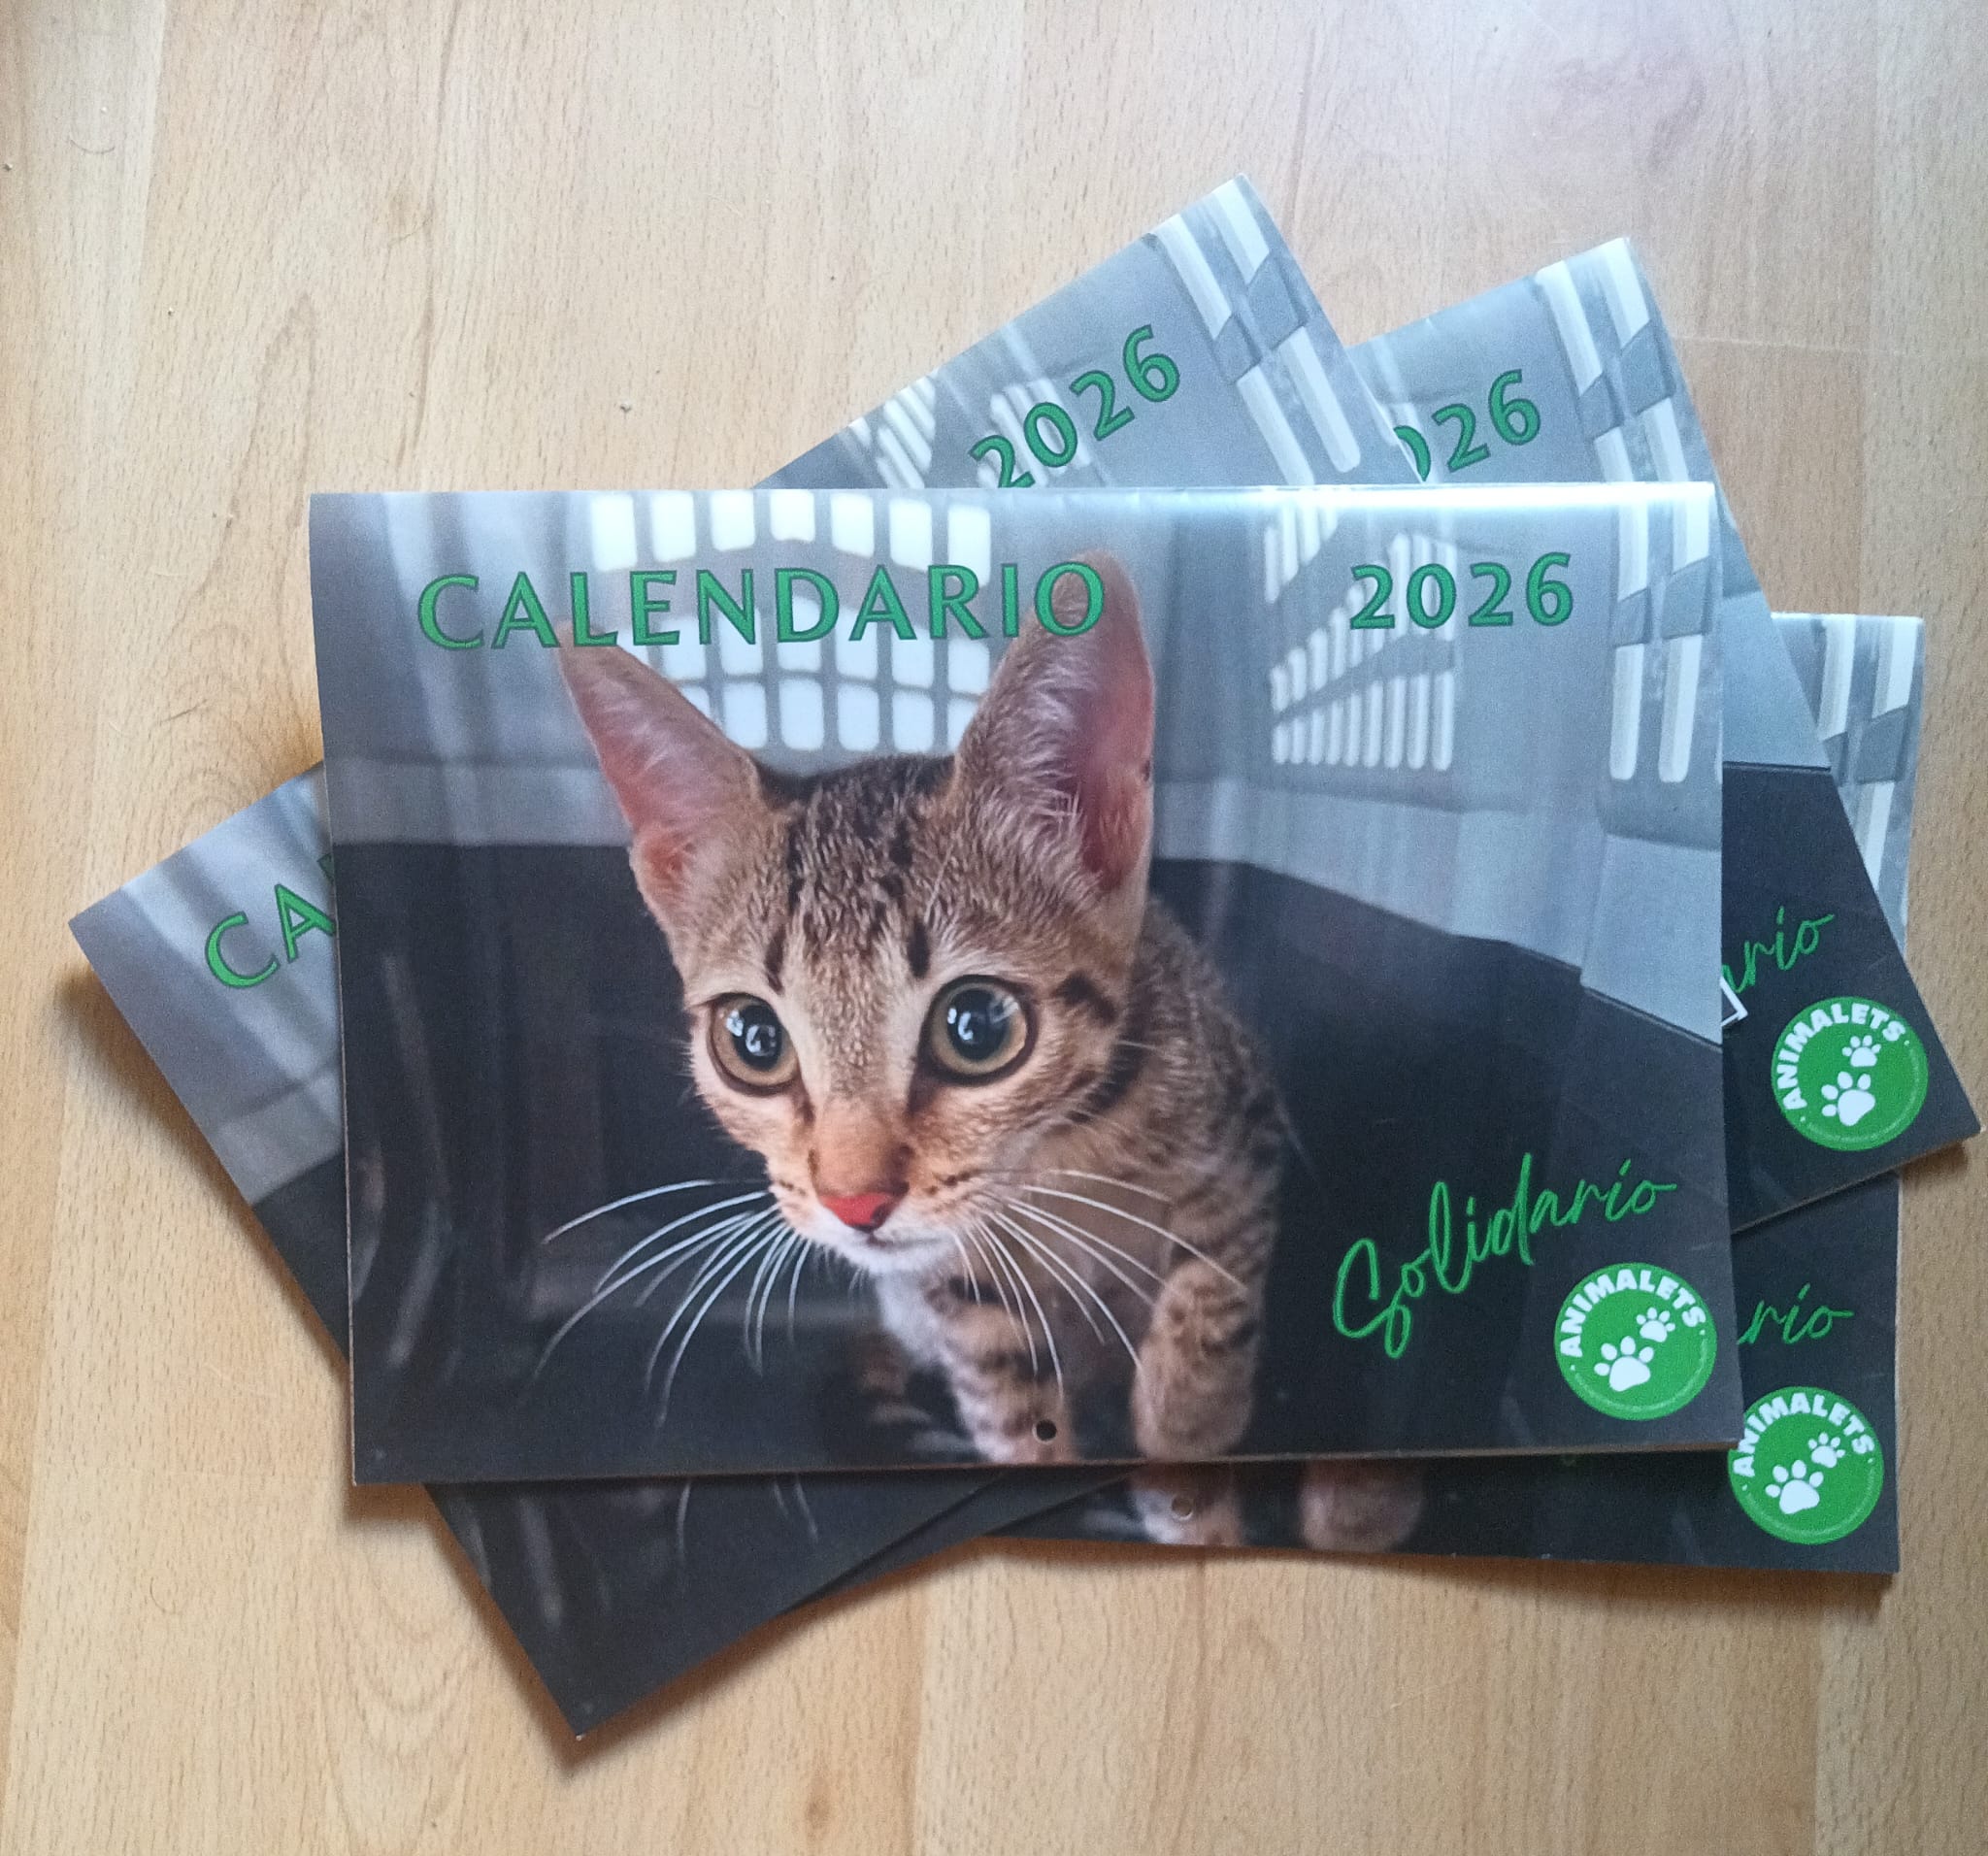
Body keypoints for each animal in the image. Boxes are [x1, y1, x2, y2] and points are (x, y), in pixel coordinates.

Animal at [559, 554, 1283, 1496]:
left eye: (975, 1027)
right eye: (754, 1039)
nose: (853, 1202)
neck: (1057, 1160)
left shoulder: (1246, 1122)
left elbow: (1219, 1272)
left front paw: (1189, 1422)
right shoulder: (952, 1277)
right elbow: (1006, 1392)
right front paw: (1053, 1456)